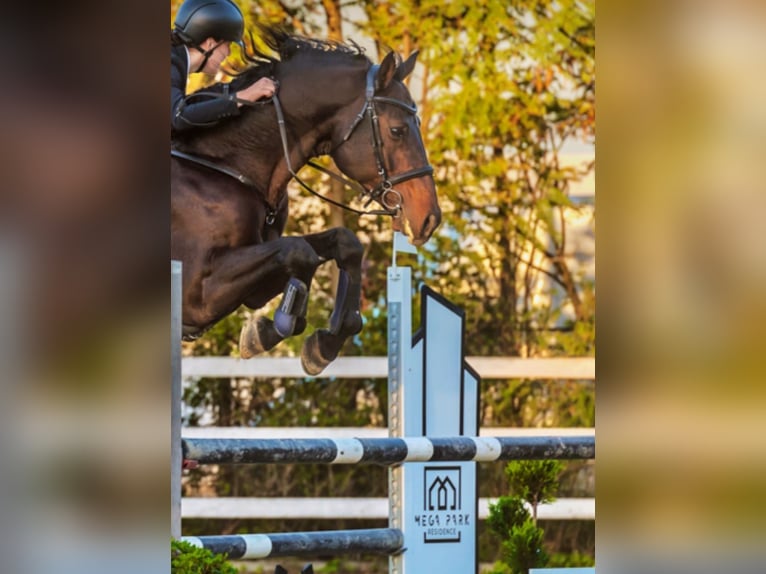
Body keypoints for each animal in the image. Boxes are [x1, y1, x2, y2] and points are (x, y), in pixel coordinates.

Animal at [171, 28, 441, 375]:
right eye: (397, 130)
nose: (430, 219)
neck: (227, 166)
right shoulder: (199, 295)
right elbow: (300, 252)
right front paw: (270, 331)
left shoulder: (252, 285)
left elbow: (343, 243)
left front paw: (323, 343)